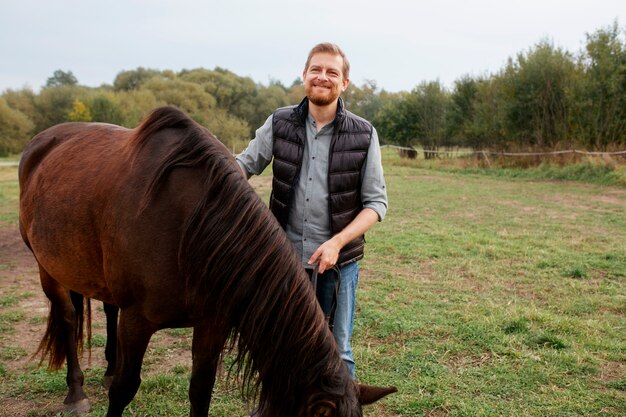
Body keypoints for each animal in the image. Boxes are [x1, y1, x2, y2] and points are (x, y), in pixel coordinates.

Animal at [18, 107, 394, 416]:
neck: (192, 229)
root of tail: (40, 143)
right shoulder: (137, 320)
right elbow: (125, 389)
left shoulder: (212, 323)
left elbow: (200, 390)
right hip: (47, 268)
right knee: (68, 319)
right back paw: (76, 392)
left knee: (108, 310)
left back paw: (108, 370)